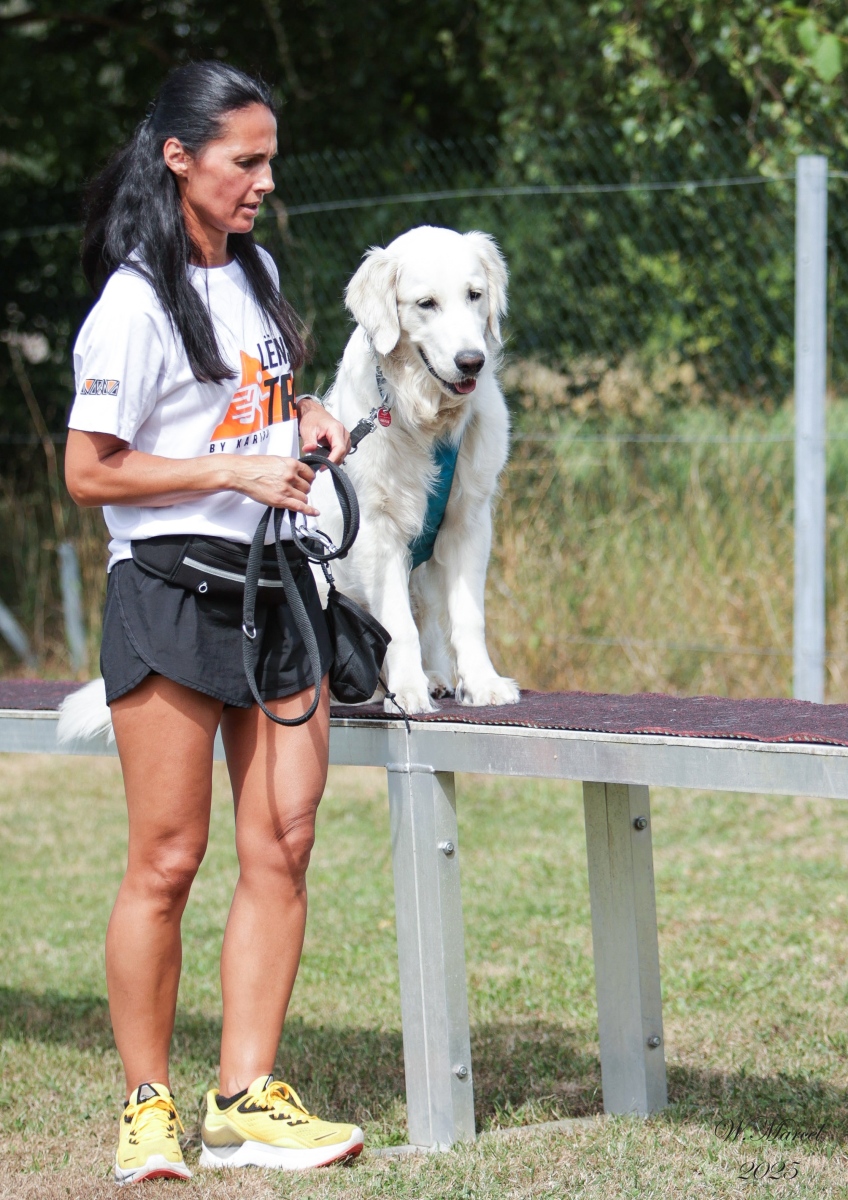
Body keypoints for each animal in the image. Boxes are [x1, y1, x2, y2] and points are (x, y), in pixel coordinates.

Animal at [311, 224, 520, 714]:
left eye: (474, 295)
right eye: (427, 304)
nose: (471, 360)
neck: (427, 418)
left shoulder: (469, 520)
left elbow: (468, 616)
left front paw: (481, 683)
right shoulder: (377, 528)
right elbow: (397, 625)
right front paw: (407, 691)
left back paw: (438, 676)